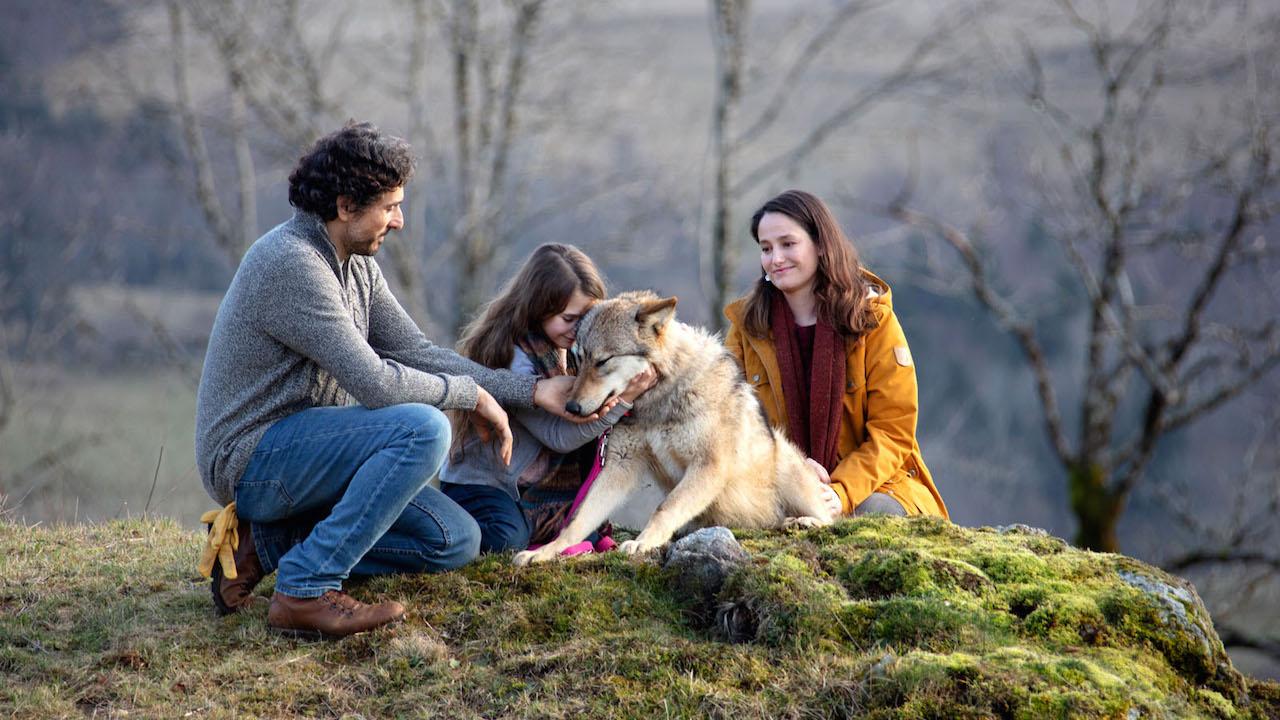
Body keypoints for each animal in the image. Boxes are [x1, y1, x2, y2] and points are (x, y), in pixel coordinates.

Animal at [512, 288, 839, 563]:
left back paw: (804, 521)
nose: (571, 407)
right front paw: (544, 552)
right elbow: (577, 521)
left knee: (830, 517)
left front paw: (643, 542)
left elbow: (664, 508)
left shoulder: (708, 465)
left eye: (603, 361)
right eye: (578, 360)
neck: (658, 399)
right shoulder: (620, 464)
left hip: (785, 464)